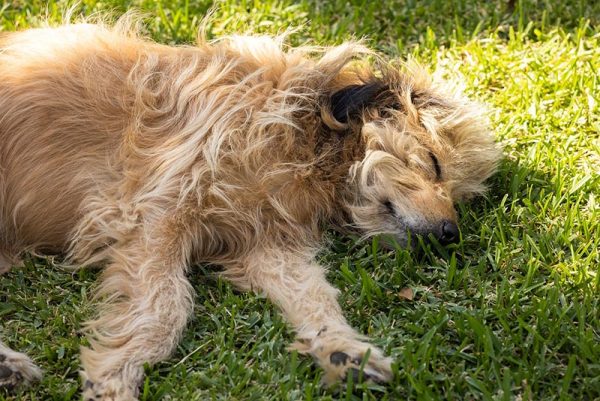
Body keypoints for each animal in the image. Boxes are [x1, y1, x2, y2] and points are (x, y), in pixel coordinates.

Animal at [0, 19, 500, 400]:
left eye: (458, 195)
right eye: (434, 163)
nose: (450, 234)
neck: (308, 148)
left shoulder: (267, 246)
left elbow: (316, 296)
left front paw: (344, 351)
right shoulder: (158, 213)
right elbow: (165, 307)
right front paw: (117, 376)